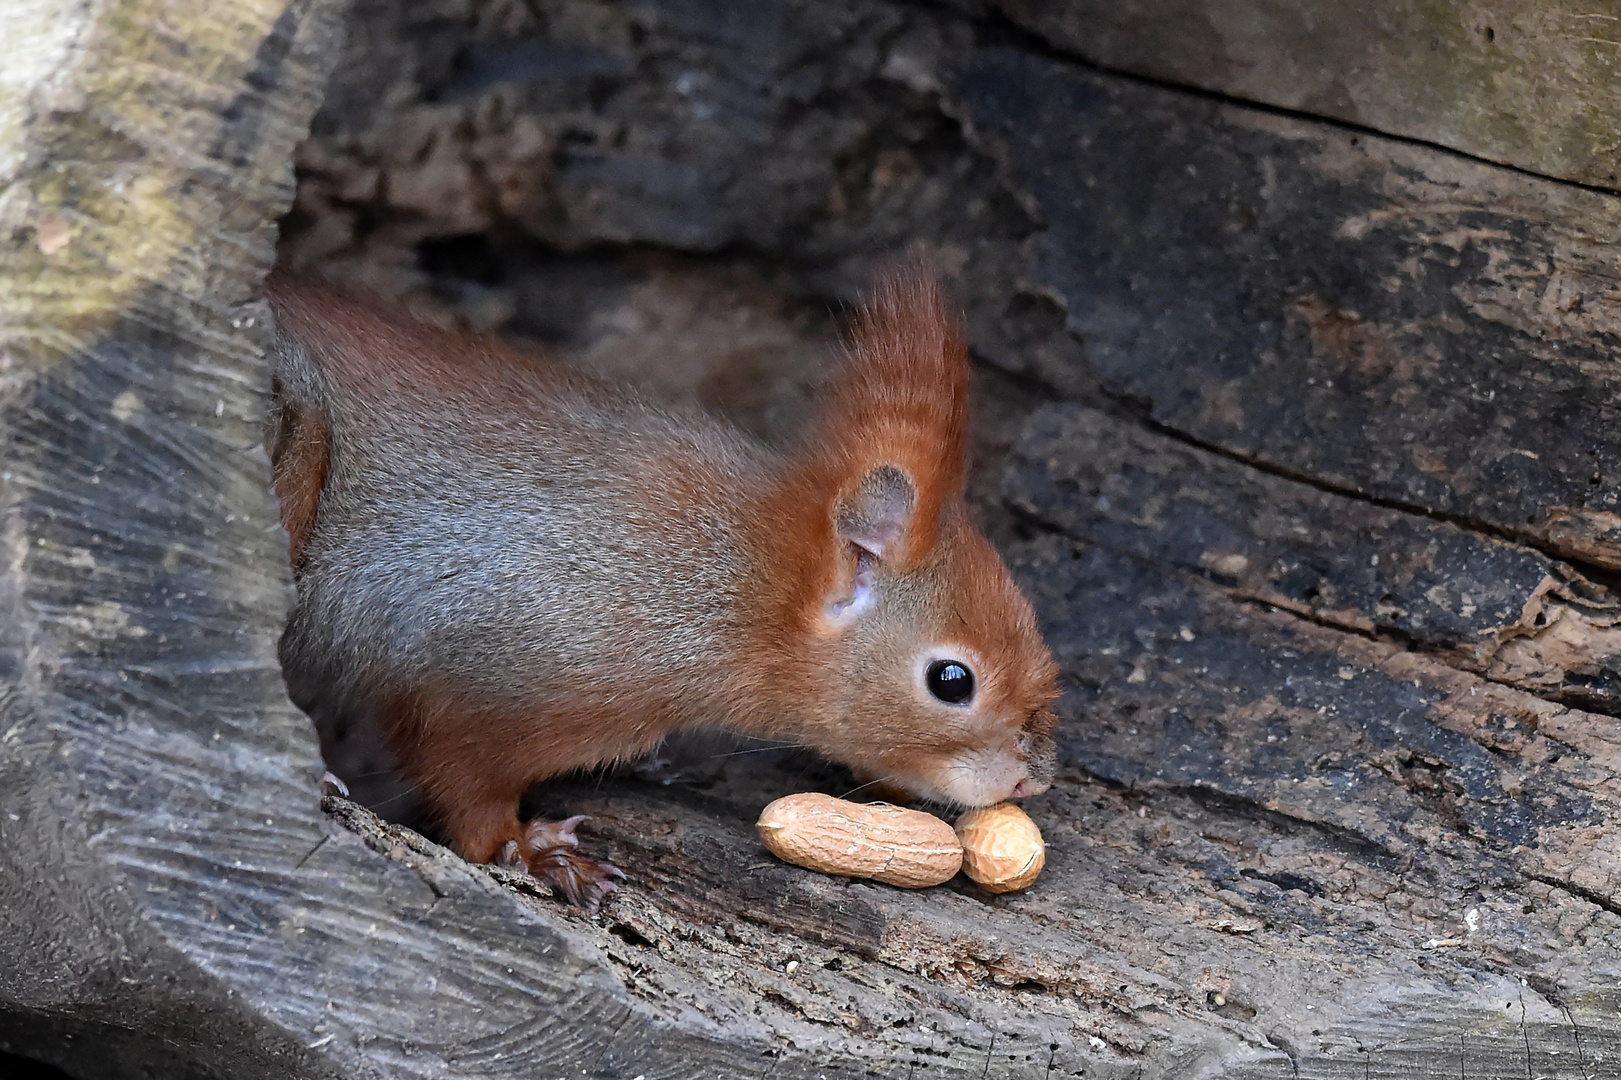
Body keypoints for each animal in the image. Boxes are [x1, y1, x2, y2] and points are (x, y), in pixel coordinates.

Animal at [265, 264, 1063, 901]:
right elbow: (460, 776)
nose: (1036, 778)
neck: (725, 582)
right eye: (951, 681)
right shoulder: (483, 665)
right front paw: (529, 851)